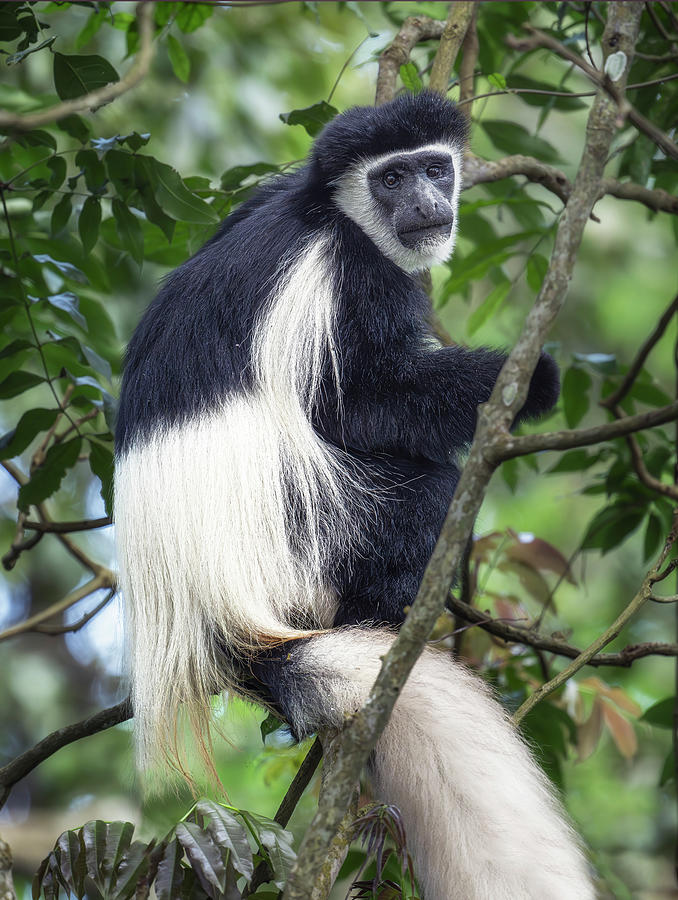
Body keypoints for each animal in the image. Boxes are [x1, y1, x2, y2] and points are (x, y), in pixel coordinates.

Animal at [114, 91, 595, 899]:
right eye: (391, 178)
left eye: (434, 167)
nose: (430, 203)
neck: (325, 209)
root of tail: (224, 628)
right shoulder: (351, 281)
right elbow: (360, 402)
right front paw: (529, 380)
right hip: (307, 533)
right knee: (421, 487)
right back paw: (390, 616)